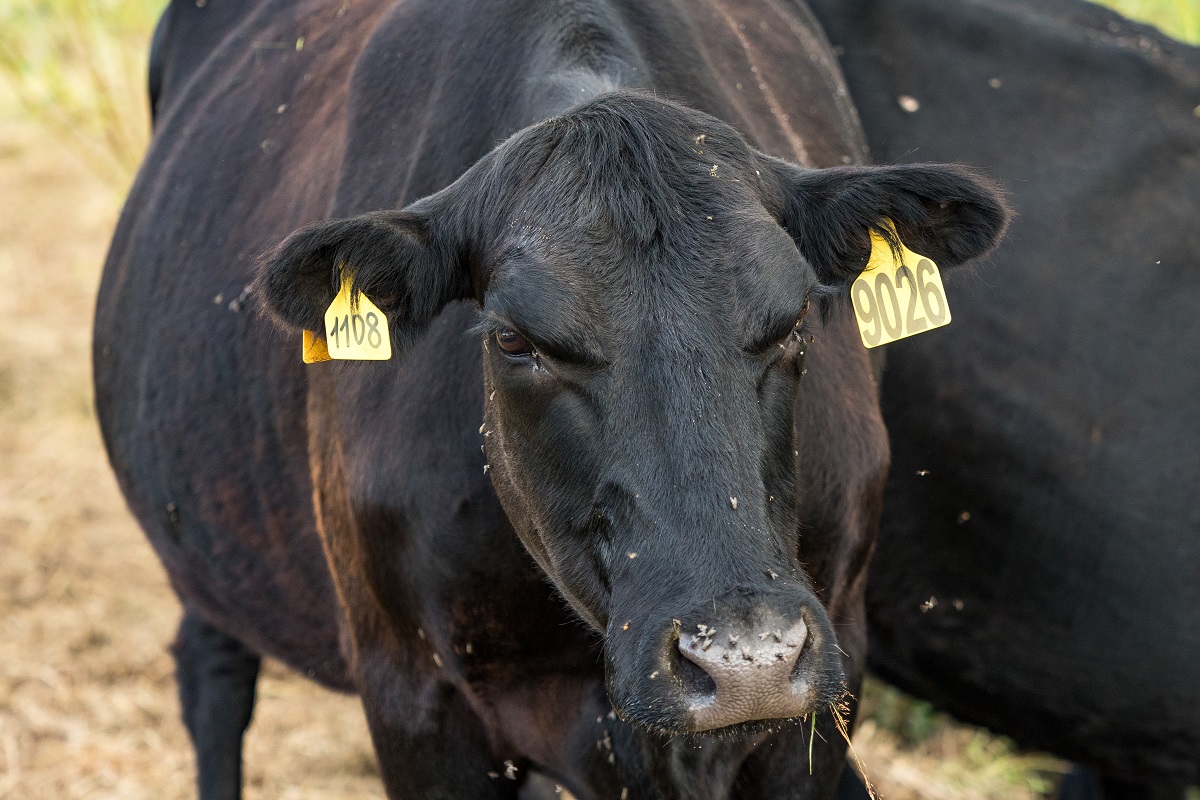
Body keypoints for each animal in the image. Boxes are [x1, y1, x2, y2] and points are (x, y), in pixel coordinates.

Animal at [96, 1, 1003, 800]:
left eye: (794, 319)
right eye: (512, 341)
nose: (746, 660)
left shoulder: (824, 679)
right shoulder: (412, 696)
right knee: (213, 675)